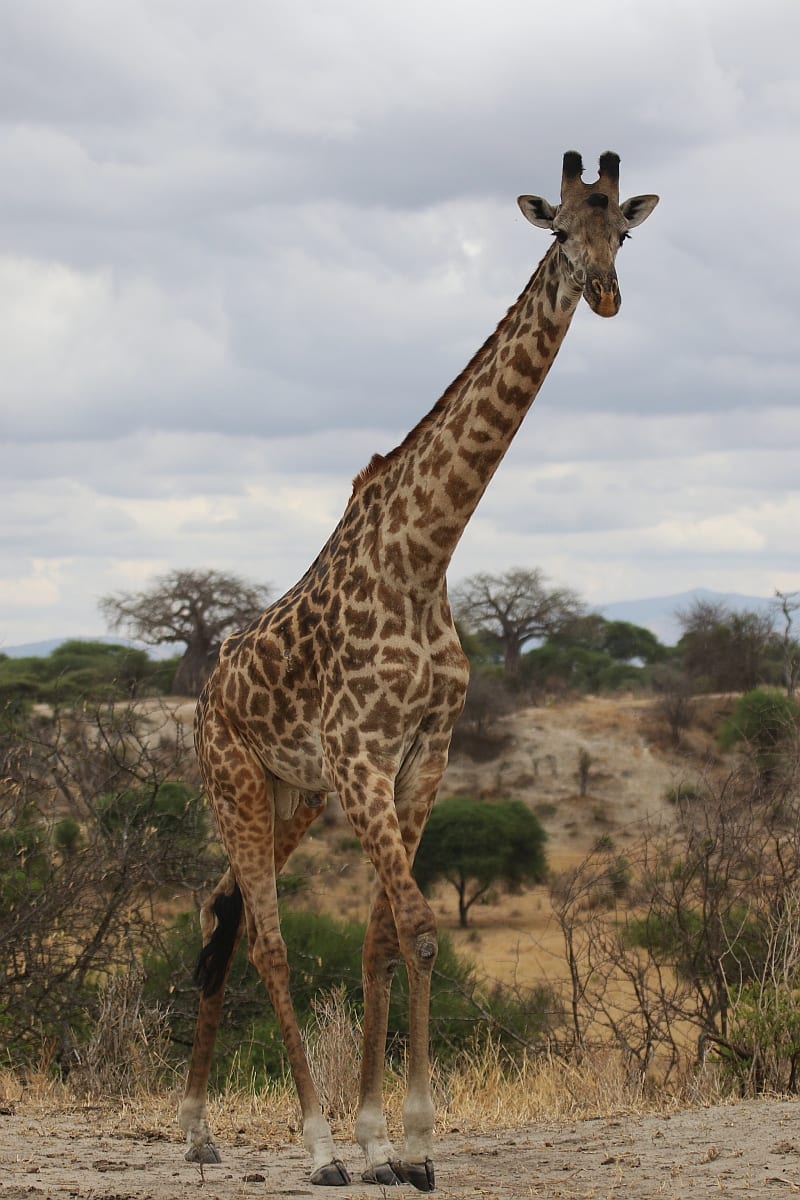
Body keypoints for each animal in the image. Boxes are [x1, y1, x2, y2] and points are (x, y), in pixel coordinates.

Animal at [178, 150, 658, 1189]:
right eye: (559, 230)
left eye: (622, 232)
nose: (604, 294)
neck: (424, 556)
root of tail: (205, 688)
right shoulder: (362, 753)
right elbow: (424, 928)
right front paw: (408, 1144)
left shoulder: (420, 755)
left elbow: (383, 937)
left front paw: (383, 1142)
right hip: (235, 779)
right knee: (268, 937)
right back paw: (311, 1147)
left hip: (293, 792)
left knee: (222, 910)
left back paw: (196, 1128)